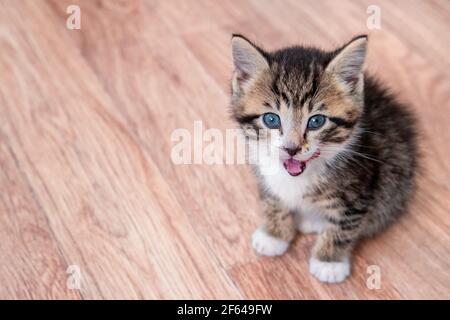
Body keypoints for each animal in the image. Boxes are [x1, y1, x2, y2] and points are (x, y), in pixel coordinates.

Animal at [230, 35, 416, 284]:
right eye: (271, 119)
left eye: (316, 121)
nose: (291, 149)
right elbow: (273, 199)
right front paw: (274, 234)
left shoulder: (360, 188)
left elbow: (343, 225)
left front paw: (329, 261)